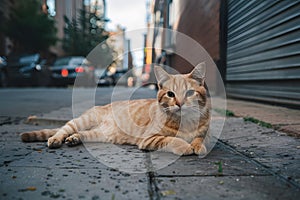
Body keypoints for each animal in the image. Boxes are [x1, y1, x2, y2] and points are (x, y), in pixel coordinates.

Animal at [21, 63, 210, 155]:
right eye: (170, 94)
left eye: (189, 93)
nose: (179, 103)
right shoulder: (149, 138)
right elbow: (172, 139)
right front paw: (185, 146)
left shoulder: (204, 134)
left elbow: (199, 139)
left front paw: (197, 146)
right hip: (82, 121)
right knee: (63, 129)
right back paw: (56, 139)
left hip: (98, 135)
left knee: (81, 134)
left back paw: (74, 139)